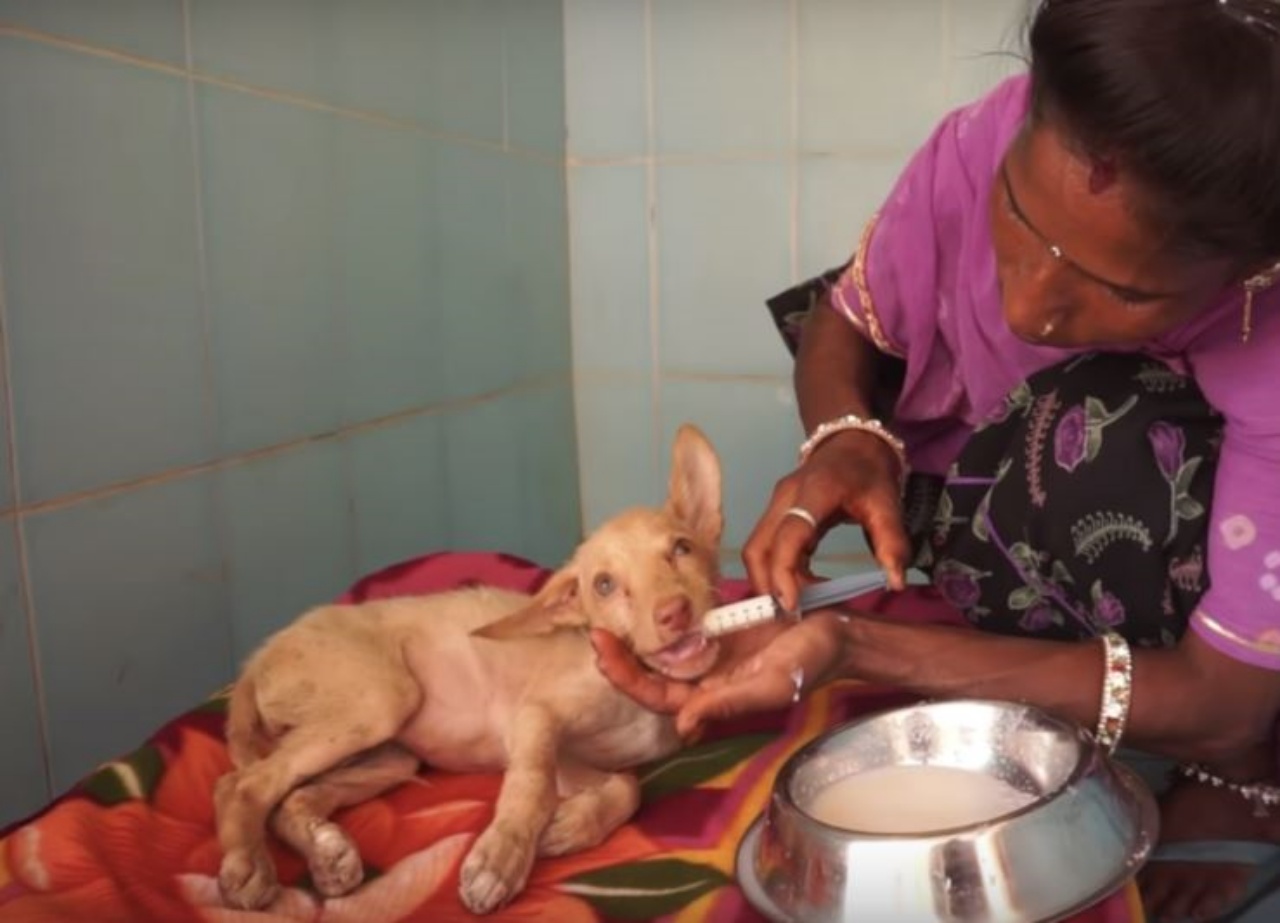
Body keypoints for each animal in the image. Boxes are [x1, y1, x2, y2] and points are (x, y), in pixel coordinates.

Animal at [215, 425, 727, 916]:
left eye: (682, 549)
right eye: (603, 585)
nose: (674, 613)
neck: (638, 696)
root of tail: (259, 654)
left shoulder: (564, 759)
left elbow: (627, 786)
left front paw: (572, 825)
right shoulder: (534, 720)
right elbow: (532, 787)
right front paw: (503, 858)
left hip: (388, 754)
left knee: (290, 796)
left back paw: (326, 853)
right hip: (381, 701)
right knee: (242, 783)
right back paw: (248, 864)